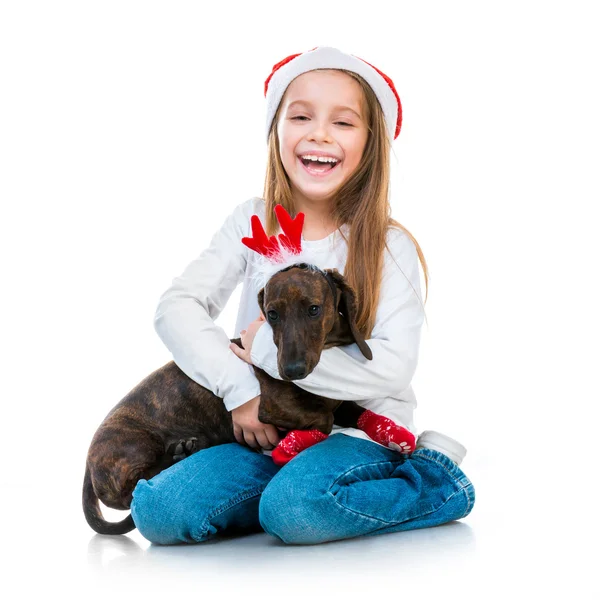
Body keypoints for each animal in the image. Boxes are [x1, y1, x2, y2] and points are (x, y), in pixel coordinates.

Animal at [84, 264, 372, 536]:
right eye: (272, 314)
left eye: (314, 309)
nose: (291, 371)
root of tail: (87, 461)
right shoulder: (275, 406)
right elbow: (325, 417)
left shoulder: (341, 404)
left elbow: (350, 410)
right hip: (136, 444)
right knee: (130, 492)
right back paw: (182, 452)